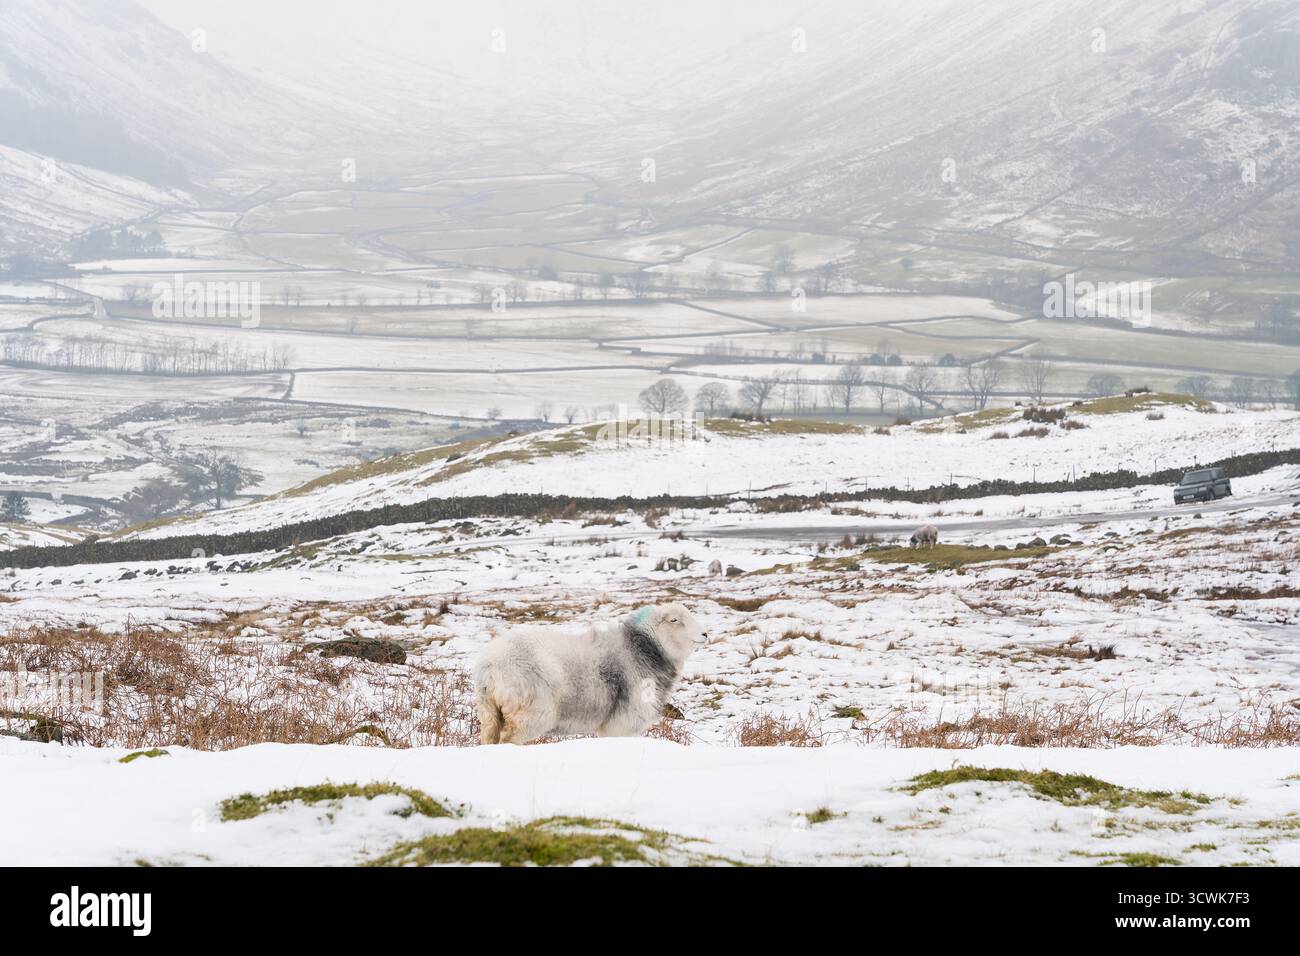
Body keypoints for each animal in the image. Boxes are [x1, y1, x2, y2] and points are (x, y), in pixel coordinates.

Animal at [475, 603, 710, 745]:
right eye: (674, 620)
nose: (705, 634)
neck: (641, 650)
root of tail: (490, 666)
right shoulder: (620, 725)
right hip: (529, 712)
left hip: (490, 713)